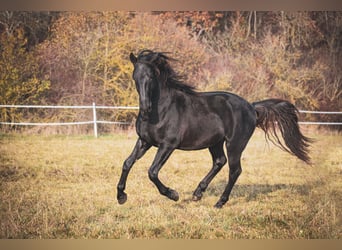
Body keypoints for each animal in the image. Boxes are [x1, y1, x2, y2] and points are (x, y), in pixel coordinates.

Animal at [116, 49, 312, 208]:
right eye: (135, 77)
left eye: (150, 77)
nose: (145, 108)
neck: (162, 110)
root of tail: (251, 106)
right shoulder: (145, 141)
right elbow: (127, 163)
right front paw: (121, 196)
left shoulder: (168, 145)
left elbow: (152, 172)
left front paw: (173, 194)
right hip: (215, 142)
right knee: (219, 161)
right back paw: (197, 193)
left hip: (234, 145)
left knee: (234, 170)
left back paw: (219, 202)